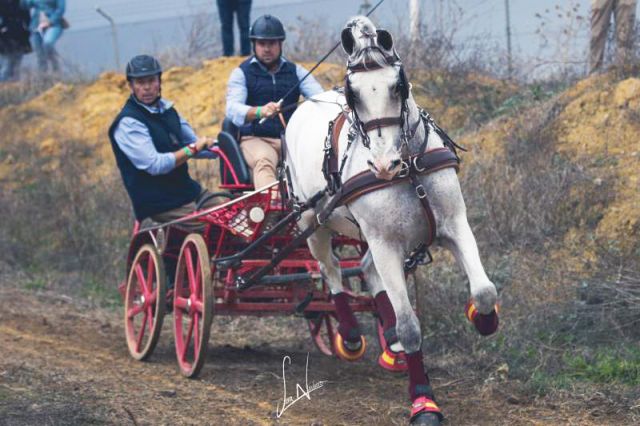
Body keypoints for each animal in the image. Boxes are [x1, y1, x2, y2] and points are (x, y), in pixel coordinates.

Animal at [284, 15, 500, 422]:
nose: (384, 165)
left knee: (366, 269)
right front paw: (423, 401)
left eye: (398, 86)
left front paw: (483, 318)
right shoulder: (386, 244)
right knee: (330, 269)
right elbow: (411, 325)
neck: (410, 170)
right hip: (312, 222)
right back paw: (350, 334)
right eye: (352, 94)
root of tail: (299, 110)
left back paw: (391, 344)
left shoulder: (455, 224)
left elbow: (484, 291)